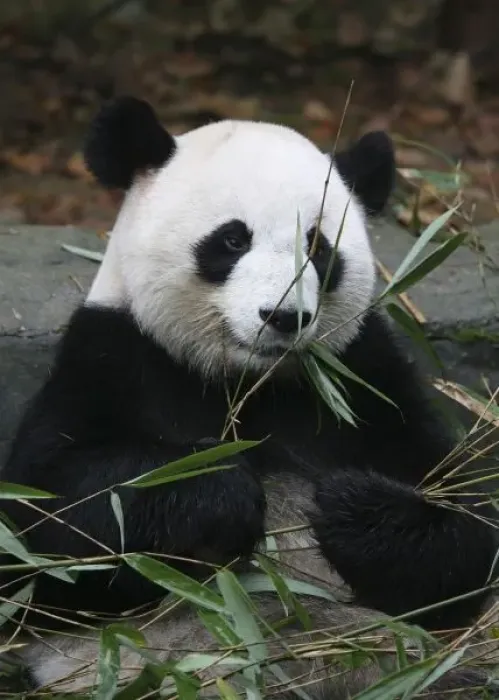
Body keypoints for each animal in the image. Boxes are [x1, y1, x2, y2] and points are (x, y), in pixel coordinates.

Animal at [0, 96, 497, 697]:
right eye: (233, 240)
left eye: (317, 246)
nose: (284, 317)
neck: (247, 380)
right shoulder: (112, 357)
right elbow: (46, 524)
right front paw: (223, 489)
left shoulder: (366, 377)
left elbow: (466, 525)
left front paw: (347, 504)